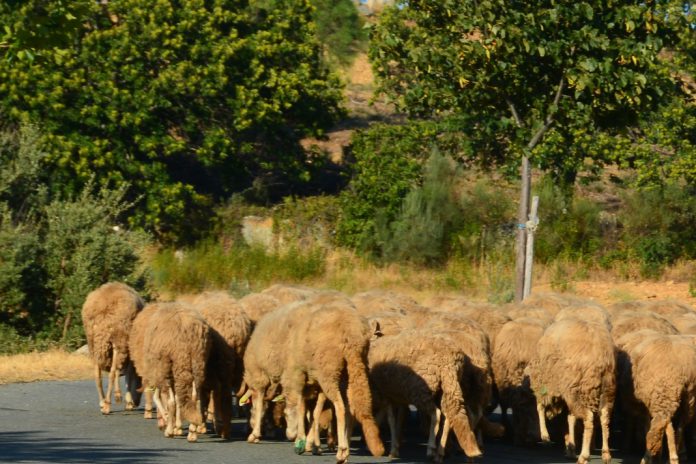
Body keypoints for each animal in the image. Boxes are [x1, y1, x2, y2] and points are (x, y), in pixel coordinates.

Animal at [81, 280, 145, 416]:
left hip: (94, 343)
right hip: (118, 340)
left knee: (98, 374)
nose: (137, 403)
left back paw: (102, 402)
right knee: (112, 373)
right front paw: (128, 401)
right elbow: (129, 373)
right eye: (141, 380)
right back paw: (108, 404)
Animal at [142, 300, 212, 442]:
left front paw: (170, 426)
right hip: (197, 363)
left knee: (174, 400)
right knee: (195, 398)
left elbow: (167, 400)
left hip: (171, 367)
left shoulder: (164, 371)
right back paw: (192, 431)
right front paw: (178, 426)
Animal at [282, 300, 386, 462]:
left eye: (285, 416)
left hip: (330, 372)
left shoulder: (299, 375)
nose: (288, 435)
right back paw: (346, 449)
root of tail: (352, 334)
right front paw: (314, 445)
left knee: (341, 407)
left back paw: (342, 451)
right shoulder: (318, 385)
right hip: (352, 370)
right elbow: (315, 412)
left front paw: (300, 443)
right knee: (351, 408)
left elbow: (301, 408)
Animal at [370, 328, 484, 462]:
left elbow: (391, 420)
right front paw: (395, 447)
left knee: (436, 414)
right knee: (451, 415)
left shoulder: (387, 395)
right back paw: (441, 454)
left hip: (422, 387)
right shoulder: (399, 396)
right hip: (448, 384)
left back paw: (431, 448)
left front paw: (393, 450)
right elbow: (398, 420)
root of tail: (449, 360)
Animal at [528, 320, 616, 464]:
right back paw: (606, 453)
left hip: (580, 389)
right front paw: (570, 448)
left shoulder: (545, 384)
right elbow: (571, 419)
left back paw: (584, 456)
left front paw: (545, 437)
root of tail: (601, 356)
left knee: (589, 420)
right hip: (606, 391)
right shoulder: (566, 391)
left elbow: (540, 407)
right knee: (604, 419)